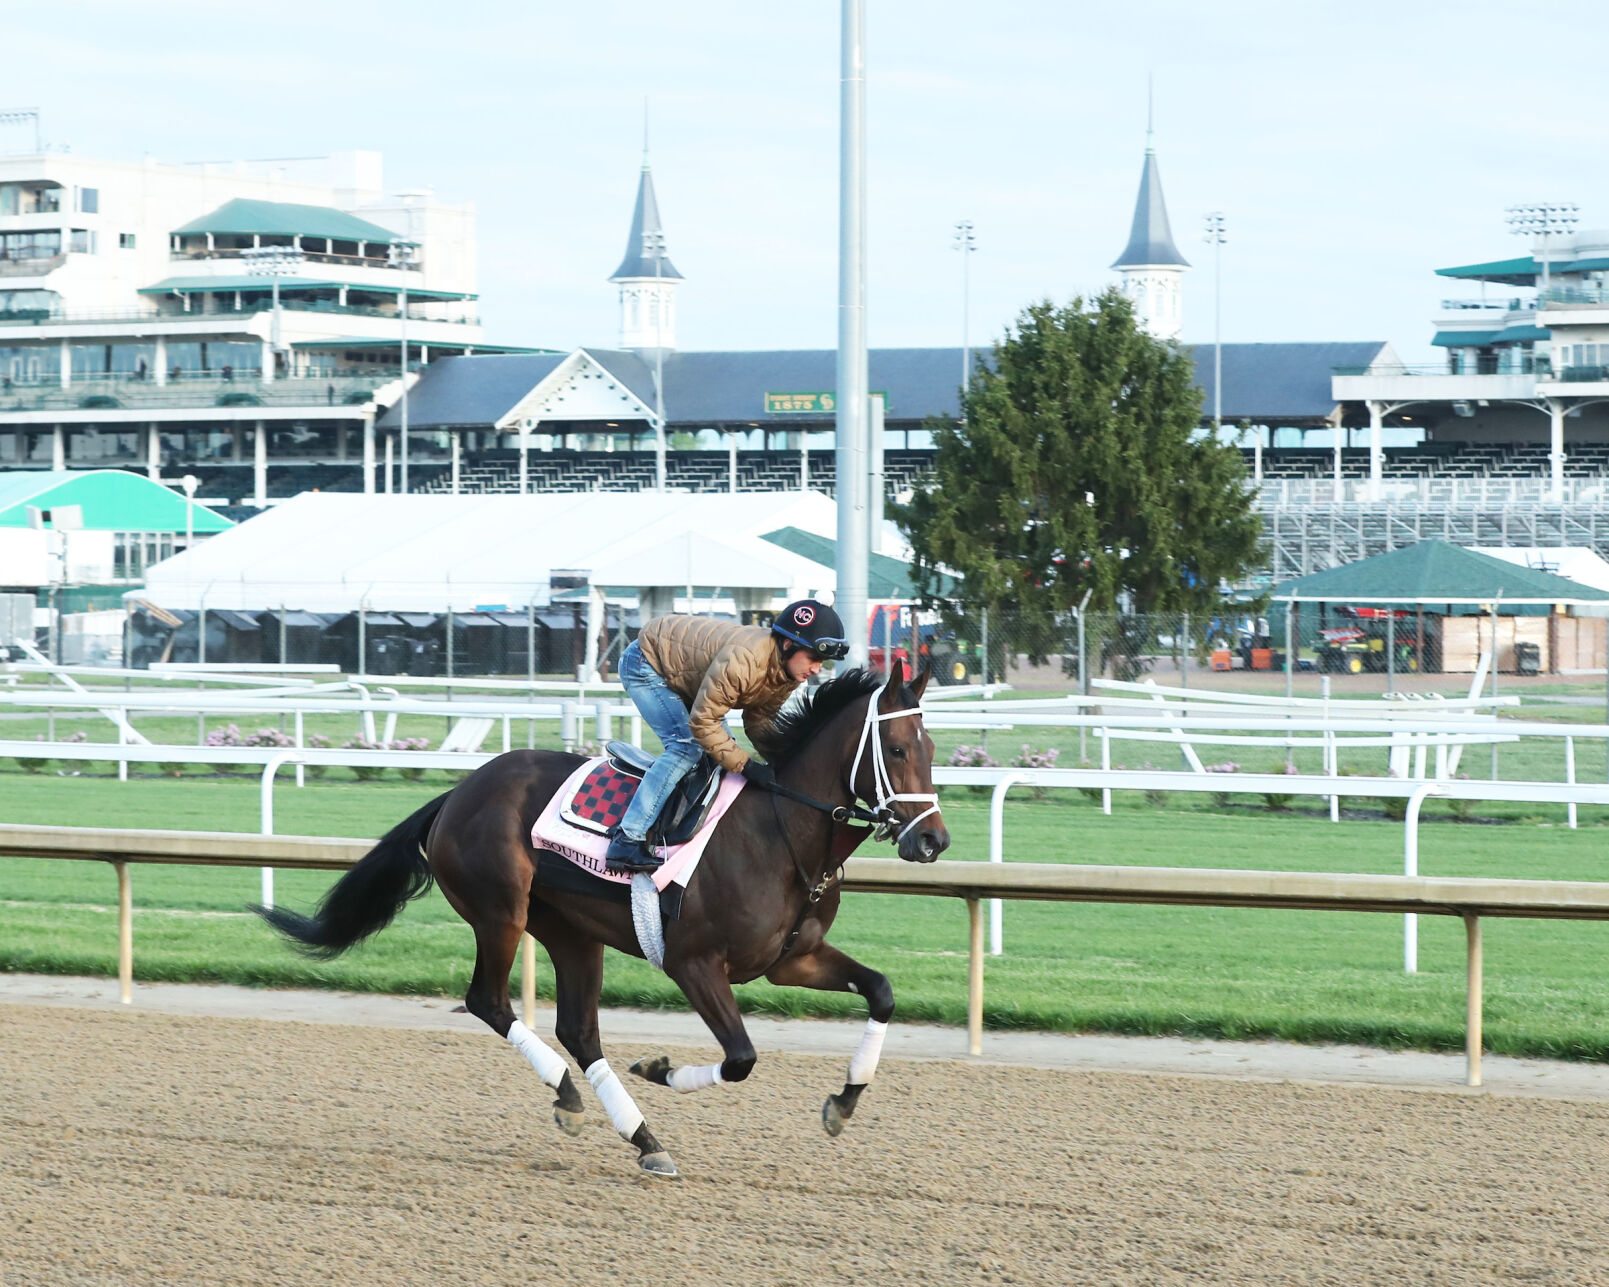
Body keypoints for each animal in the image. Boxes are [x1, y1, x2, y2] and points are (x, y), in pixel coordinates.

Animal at [257, 662, 946, 1177]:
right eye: (895, 747)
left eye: (932, 748)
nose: (932, 841)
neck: (779, 834)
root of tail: (457, 793)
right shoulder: (693, 962)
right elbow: (742, 1058)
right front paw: (658, 1068)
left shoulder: (791, 961)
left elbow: (882, 992)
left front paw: (844, 1102)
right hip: (501, 912)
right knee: (489, 1001)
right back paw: (569, 1093)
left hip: (572, 932)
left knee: (579, 1030)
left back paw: (642, 1138)